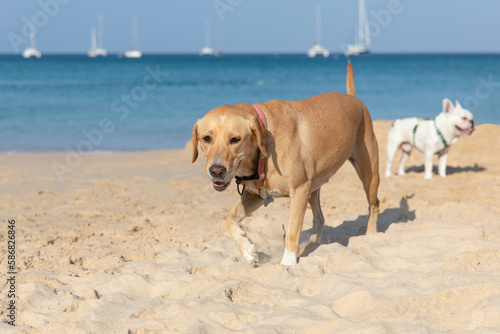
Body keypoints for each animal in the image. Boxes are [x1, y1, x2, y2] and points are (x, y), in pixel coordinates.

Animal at [191, 64, 378, 268]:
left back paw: (371, 237)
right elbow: (229, 218)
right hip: (315, 187)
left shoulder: (299, 191)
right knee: (320, 219)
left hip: (368, 174)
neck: (264, 148)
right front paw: (247, 249)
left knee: (374, 204)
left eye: (235, 139)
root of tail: (354, 98)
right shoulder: (254, 196)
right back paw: (313, 245)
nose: (216, 171)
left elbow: (292, 232)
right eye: (206, 138)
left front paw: (288, 262)